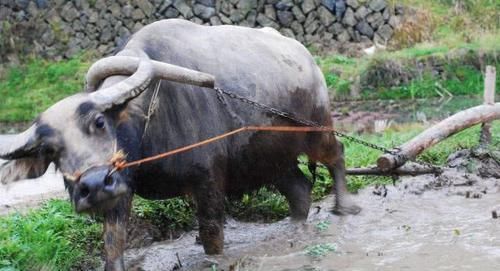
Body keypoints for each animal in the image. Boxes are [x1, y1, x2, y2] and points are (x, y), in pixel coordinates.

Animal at [0, 19, 360, 270]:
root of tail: (306, 58)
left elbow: (212, 236)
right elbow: (113, 244)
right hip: (269, 157)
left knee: (337, 155)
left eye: (100, 122)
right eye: (50, 151)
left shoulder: (208, 182)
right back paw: (294, 227)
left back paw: (344, 206)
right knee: (299, 189)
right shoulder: (121, 187)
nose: (94, 185)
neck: (148, 121)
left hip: (318, 130)